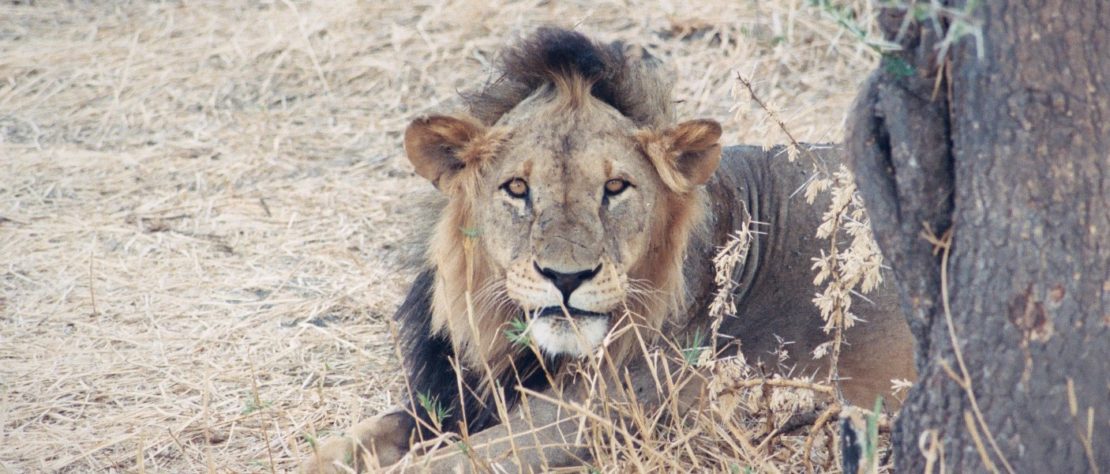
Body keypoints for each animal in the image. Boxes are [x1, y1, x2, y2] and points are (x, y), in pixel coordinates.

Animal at [301, 27, 910, 472]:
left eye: (615, 188)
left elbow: (450, 462)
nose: (566, 277)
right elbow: (342, 445)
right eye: (517, 188)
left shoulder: (593, 415)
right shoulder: (452, 398)